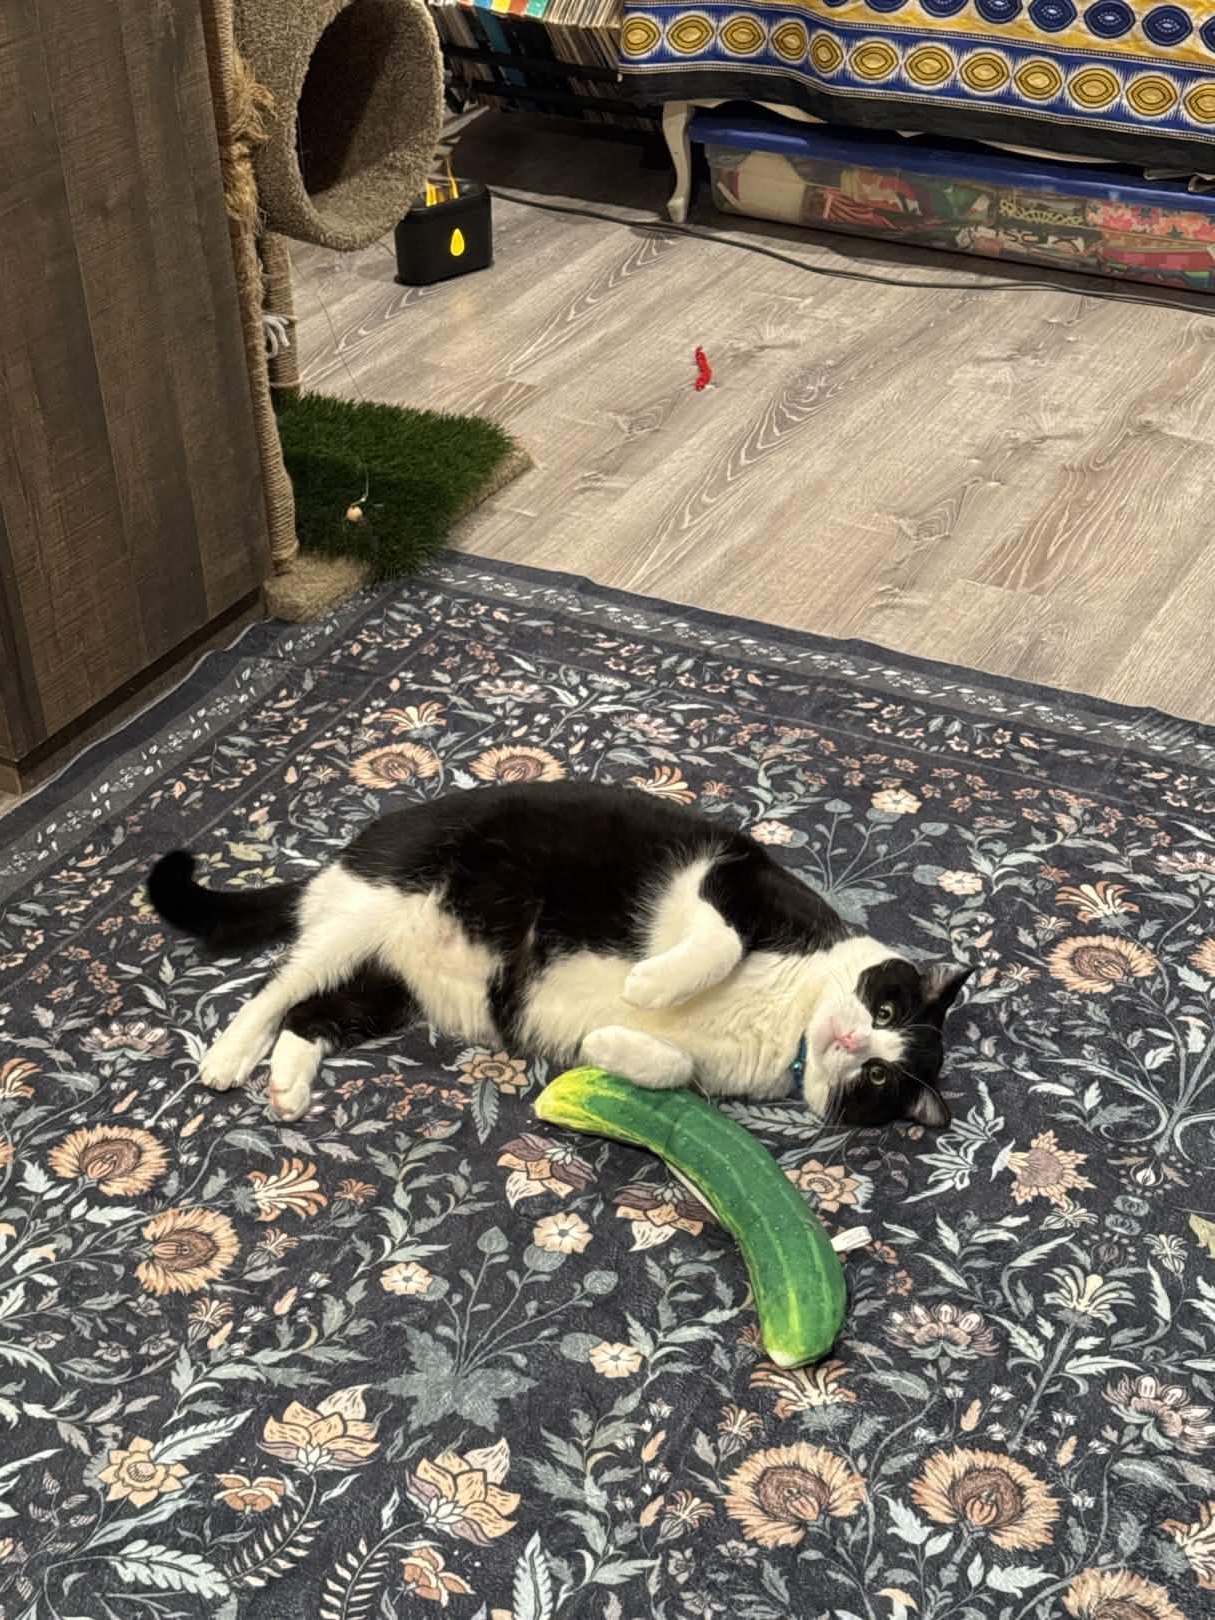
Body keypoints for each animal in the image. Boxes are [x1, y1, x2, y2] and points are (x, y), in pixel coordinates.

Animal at [147, 780, 970, 1127]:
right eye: (885, 1005)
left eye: (879, 1075)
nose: (853, 1040)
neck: (792, 1020)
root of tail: (340, 859)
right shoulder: (734, 876)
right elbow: (719, 939)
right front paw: (649, 986)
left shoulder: (710, 1072)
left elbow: (674, 1068)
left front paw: (608, 1040)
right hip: (376, 903)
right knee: (277, 986)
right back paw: (227, 1057)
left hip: (385, 988)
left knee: (314, 1013)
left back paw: (287, 1088)